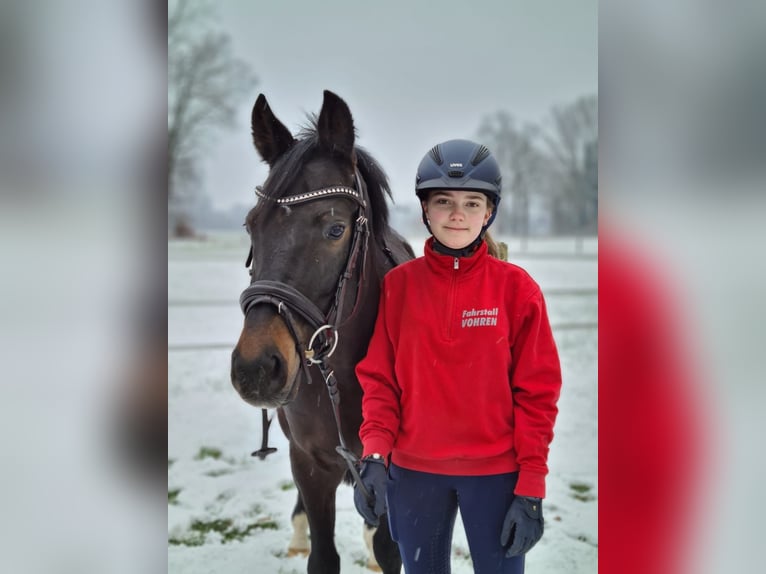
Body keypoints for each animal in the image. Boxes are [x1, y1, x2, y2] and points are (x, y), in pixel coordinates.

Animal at [231, 91, 414, 574]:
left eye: (335, 229)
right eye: (251, 224)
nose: (256, 368)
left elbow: (391, 548)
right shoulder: (310, 462)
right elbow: (322, 555)